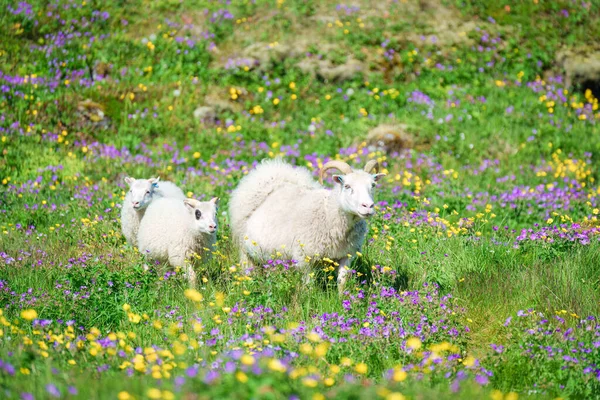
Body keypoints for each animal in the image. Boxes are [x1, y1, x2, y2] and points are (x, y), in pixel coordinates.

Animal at [227, 159, 386, 294]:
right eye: (347, 186)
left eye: (373, 185)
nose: (368, 206)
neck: (328, 212)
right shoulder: (305, 258)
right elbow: (309, 285)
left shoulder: (346, 255)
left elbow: (342, 281)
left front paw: (342, 299)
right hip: (245, 251)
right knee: (248, 270)